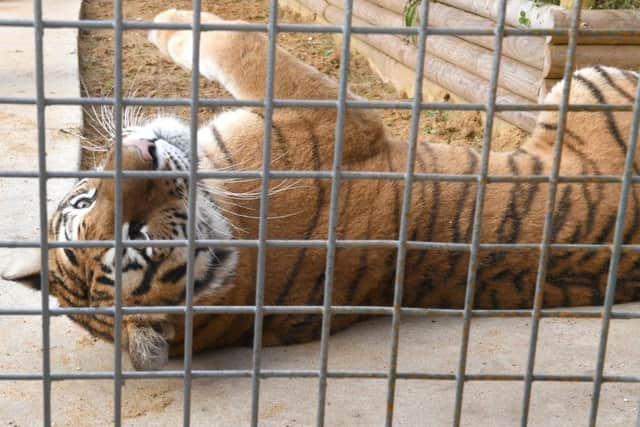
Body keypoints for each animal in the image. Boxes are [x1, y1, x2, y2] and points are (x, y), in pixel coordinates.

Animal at [2, 8, 640, 371]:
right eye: (135, 237)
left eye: (85, 201)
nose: (138, 155)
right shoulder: (333, 114)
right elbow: (241, 41)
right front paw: (168, 21)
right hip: (593, 77)